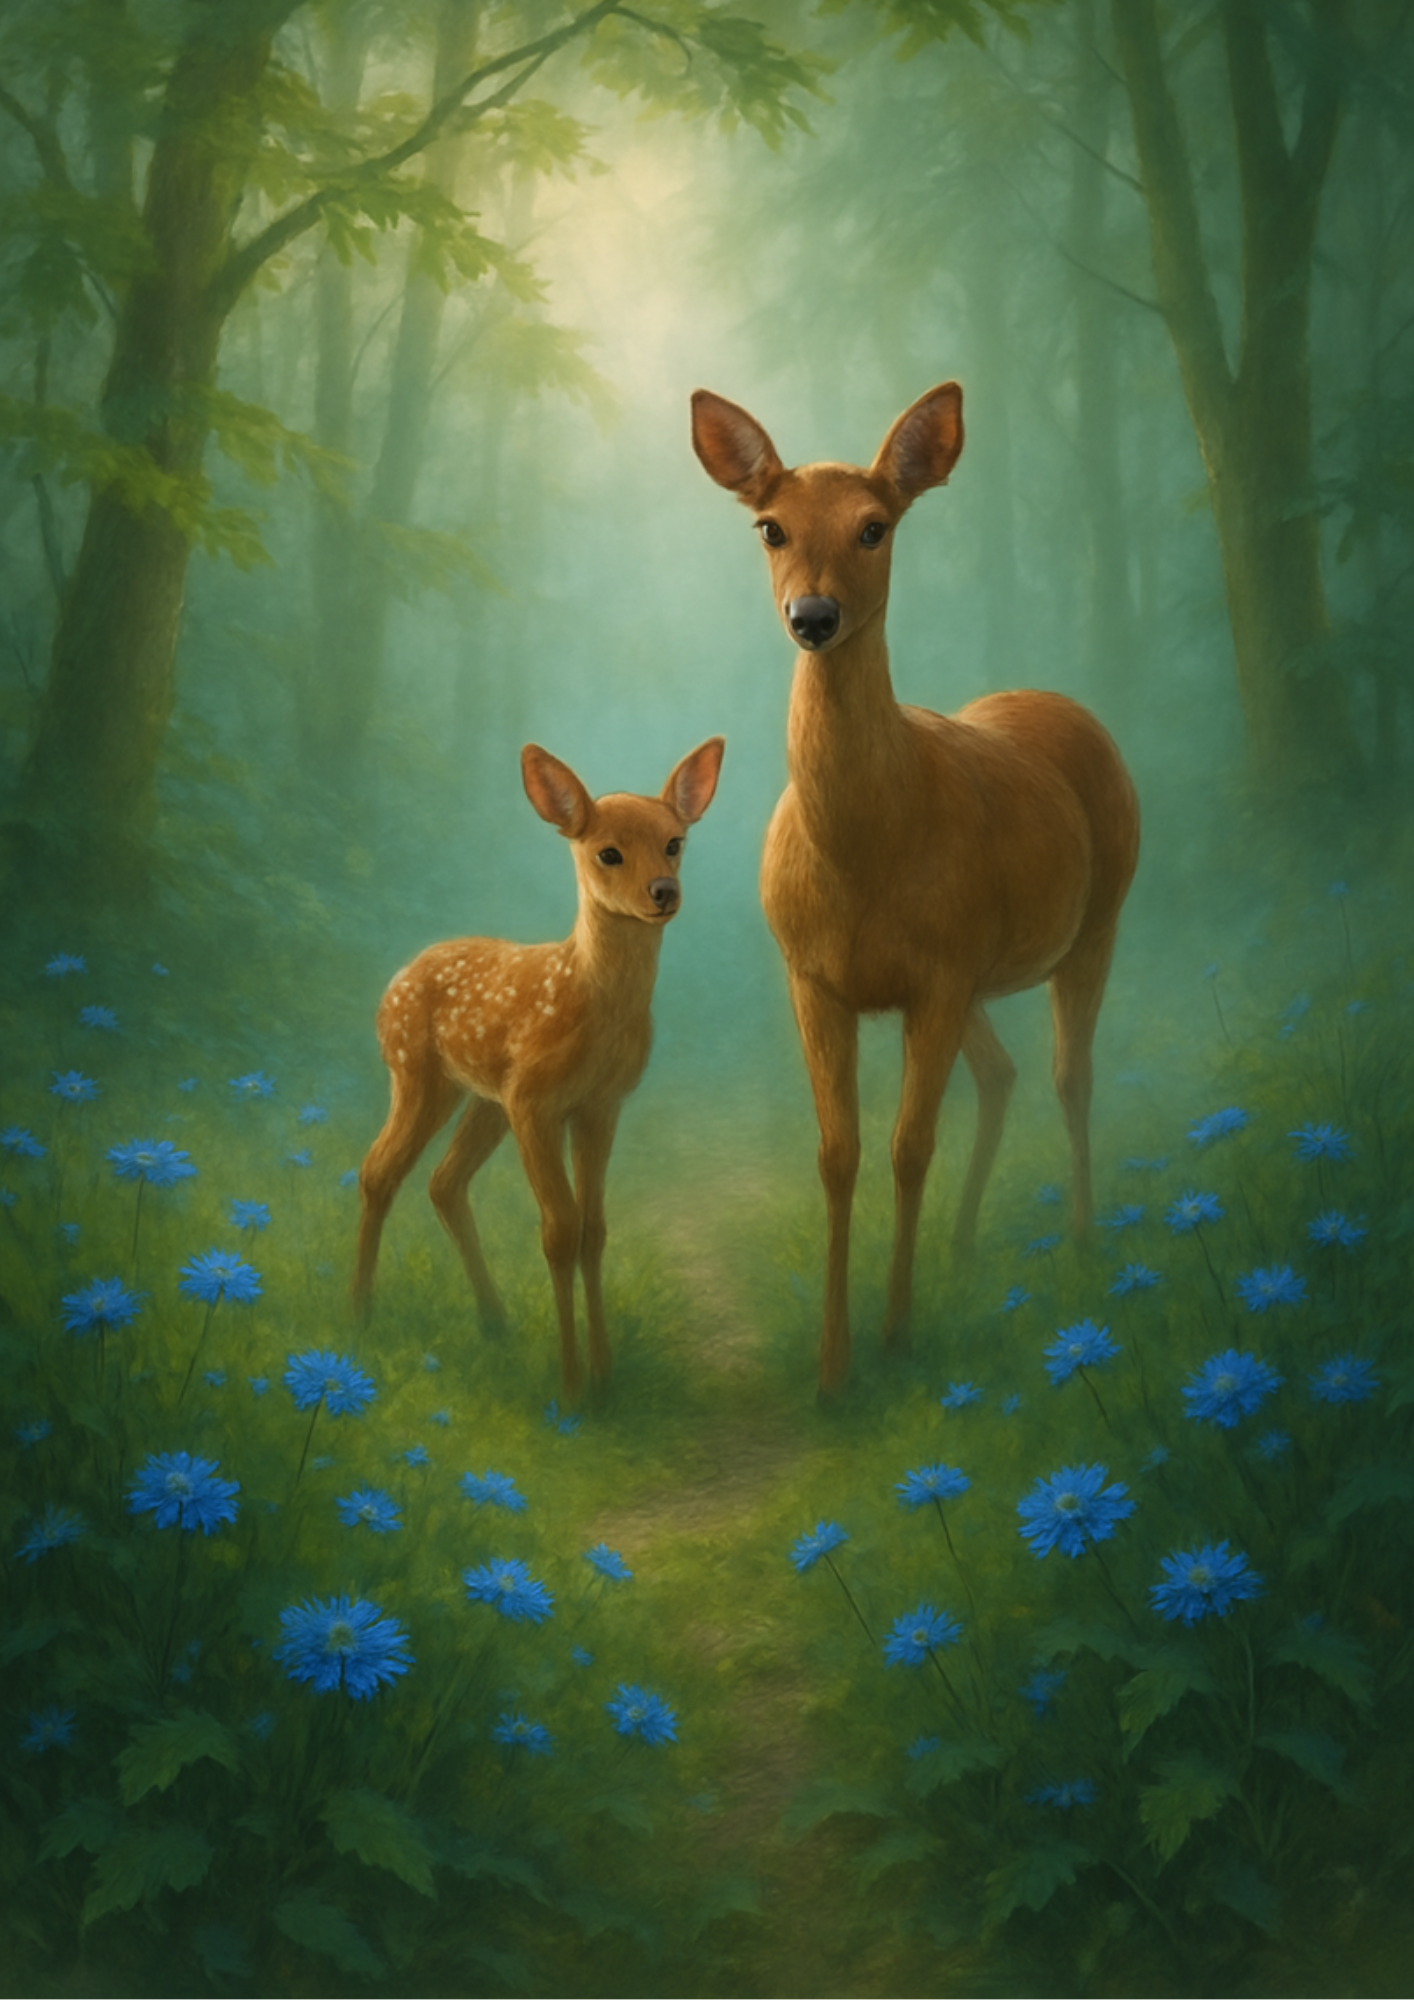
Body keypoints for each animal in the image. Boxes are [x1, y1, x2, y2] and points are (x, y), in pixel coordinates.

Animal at [352, 735, 726, 1400]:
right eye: (608, 852)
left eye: (675, 842)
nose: (663, 891)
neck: (590, 1003)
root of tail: (397, 978)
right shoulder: (535, 1101)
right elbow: (558, 1230)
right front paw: (573, 1385)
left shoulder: (600, 1105)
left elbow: (593, 1230)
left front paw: (604, 1372)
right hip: (421, 1075)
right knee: (378, 1171)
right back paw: (359, 1317)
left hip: (484, 1099)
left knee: (443, 1181)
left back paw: (494, 1321)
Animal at [691, 382, 1140, 1397]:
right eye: (770, 527)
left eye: (875, 526)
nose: (813, 615)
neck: (864, 856)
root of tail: (1059, 698)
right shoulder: (816, 978)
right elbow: (837, 1156)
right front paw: (832, 1366)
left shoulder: (937, 974)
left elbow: (907, 1147)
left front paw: (896, 1337)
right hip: (978, 974)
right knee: (1004, 1073)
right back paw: (964, 1246)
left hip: (1099, 916)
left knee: (1071, 1073)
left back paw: (1083, 1236)